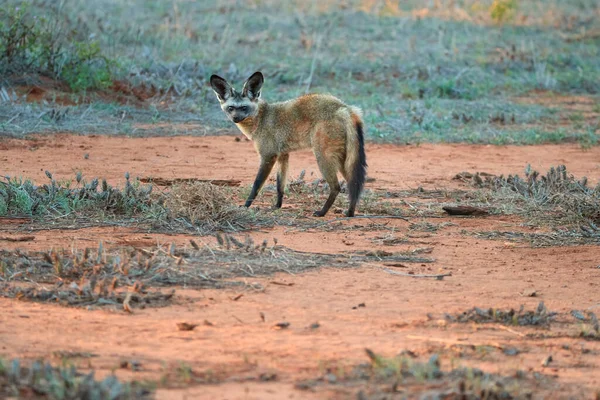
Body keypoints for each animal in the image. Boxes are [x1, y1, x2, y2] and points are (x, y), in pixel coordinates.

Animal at [211, 70, 370, 217]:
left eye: (244, 108)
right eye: (231, 108)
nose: (235, 118)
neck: (262, 118)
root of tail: (344, 107)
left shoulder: (268, 156)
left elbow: (256, 185)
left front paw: (245, 206)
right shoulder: (283, 156)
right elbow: (280, 186)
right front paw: (277, 206)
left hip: (323, 157)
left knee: (337, 187)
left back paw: (322, 212)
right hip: (343, 160)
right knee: (354, 184)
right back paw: (350, 212)